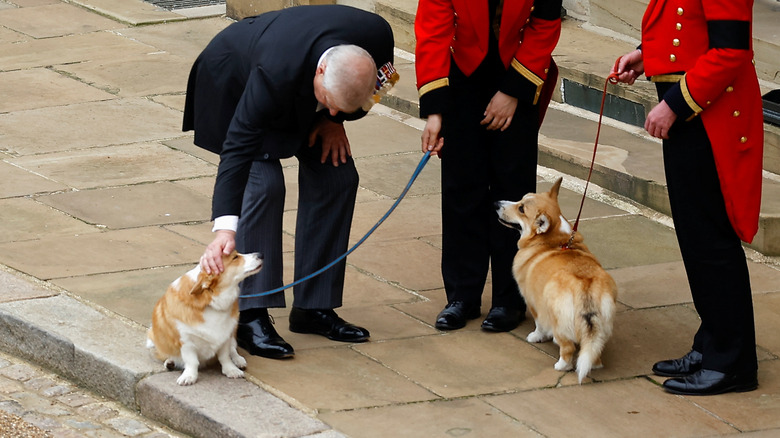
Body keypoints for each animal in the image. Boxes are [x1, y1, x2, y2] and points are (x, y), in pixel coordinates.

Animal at [148, 252, 264, 384]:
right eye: (235, 257)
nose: (260, 254)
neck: (210, 300)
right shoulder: (186, 341)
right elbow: (192, 361)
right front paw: (189, 376)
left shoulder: (226, 335)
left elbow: (225, 356)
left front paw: (231, 370)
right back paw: (170, 362)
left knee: (233, 349)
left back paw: (238, 360)